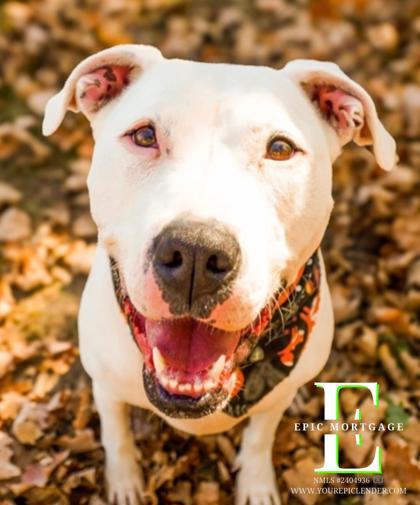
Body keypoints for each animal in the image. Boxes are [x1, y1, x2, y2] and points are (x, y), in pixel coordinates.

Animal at [43, 44, 398, 504]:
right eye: (144, 136)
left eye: (280, 148)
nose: (196, 252)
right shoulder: (104, 385)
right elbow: (116, 436)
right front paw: (124, 483)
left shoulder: (280, 394)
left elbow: (260, 436)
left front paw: (256, 484)